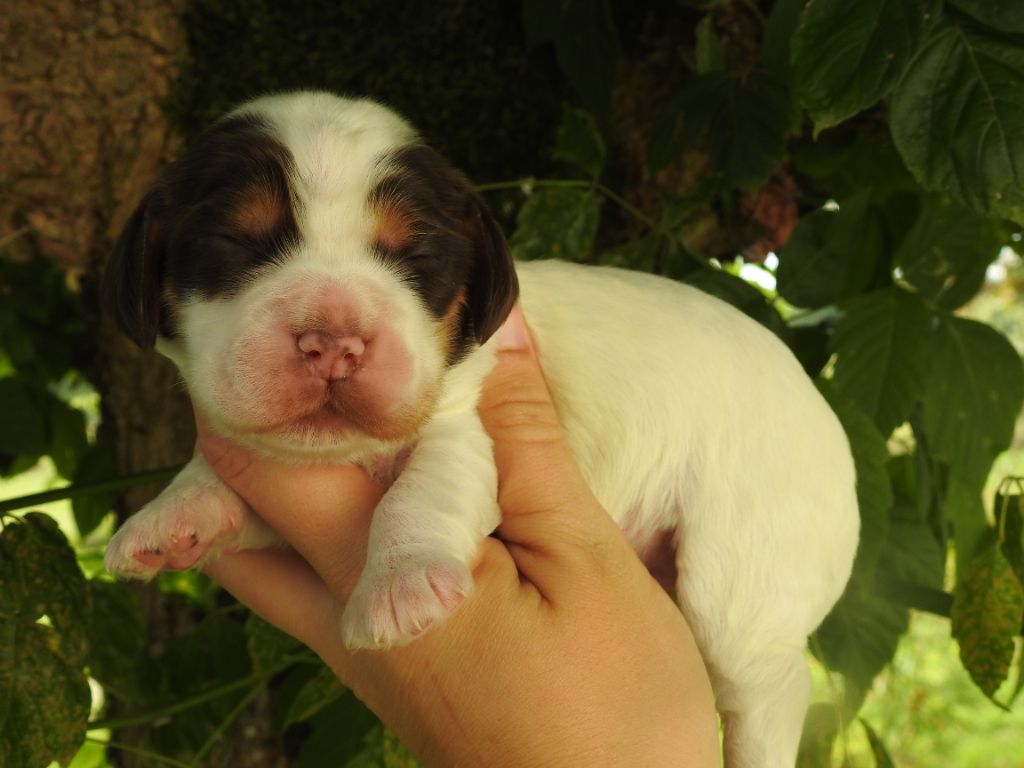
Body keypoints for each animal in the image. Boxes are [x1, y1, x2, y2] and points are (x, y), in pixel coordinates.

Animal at [103, 91, 860, 768]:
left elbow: (422, 491)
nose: (334, 343)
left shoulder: (465, 422)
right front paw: (175, 515)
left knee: (771, 683)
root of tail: (830, 418)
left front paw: (401, 585)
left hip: (744, 568)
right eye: (231, 241)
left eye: (416, 259)